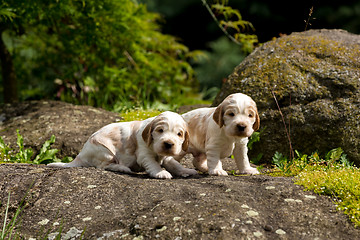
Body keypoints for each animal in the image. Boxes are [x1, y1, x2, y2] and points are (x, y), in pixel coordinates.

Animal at [47, 111, 197, 178]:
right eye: (160, 130)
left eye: (179, 134)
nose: (168, 143)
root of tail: (79, 155)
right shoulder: (144, 154)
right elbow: (153, 164)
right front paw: (161, 173)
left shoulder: (167, 157)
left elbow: (175, 164)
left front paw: (186, 171)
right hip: (105, 152)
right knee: (104, 166)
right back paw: (123, 168)